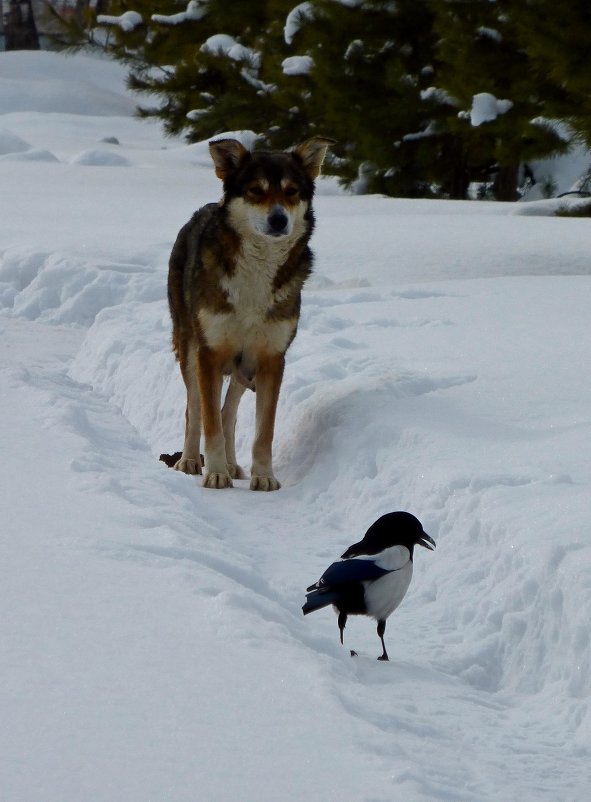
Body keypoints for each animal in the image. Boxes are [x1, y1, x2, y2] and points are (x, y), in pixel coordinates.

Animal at [165, 133, 332, 488]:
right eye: (256, 190)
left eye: (291, 191)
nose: (279, 219)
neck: (256, 272)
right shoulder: (210, 353)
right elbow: (209, 424)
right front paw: (214, 473)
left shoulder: (271, 358)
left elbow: (262, 432)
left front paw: (263, 477)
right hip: (190, 349)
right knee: (195, 411)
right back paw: (190, 461)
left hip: (244, 364)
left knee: (228, 412)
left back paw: (232, 465)